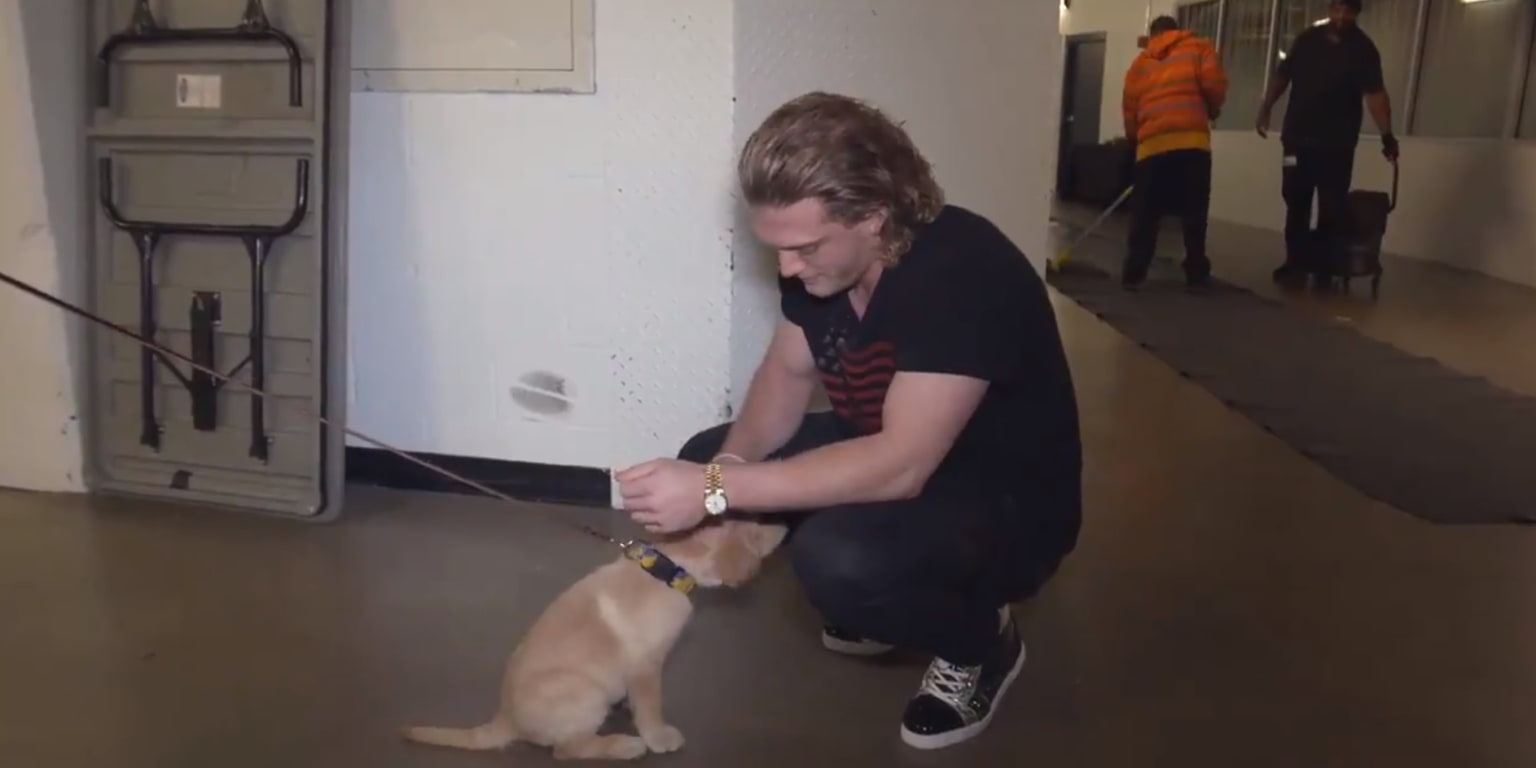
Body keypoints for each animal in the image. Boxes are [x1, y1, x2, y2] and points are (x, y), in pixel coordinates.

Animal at [402, 519, 786, 758]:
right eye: (756, 550)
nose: (783, 531)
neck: (668, 568)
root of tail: (505, 719)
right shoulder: (646, 666)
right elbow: (652, 707)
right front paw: (658, 737)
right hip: (586, 693)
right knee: (566, 750)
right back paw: (623, 746)